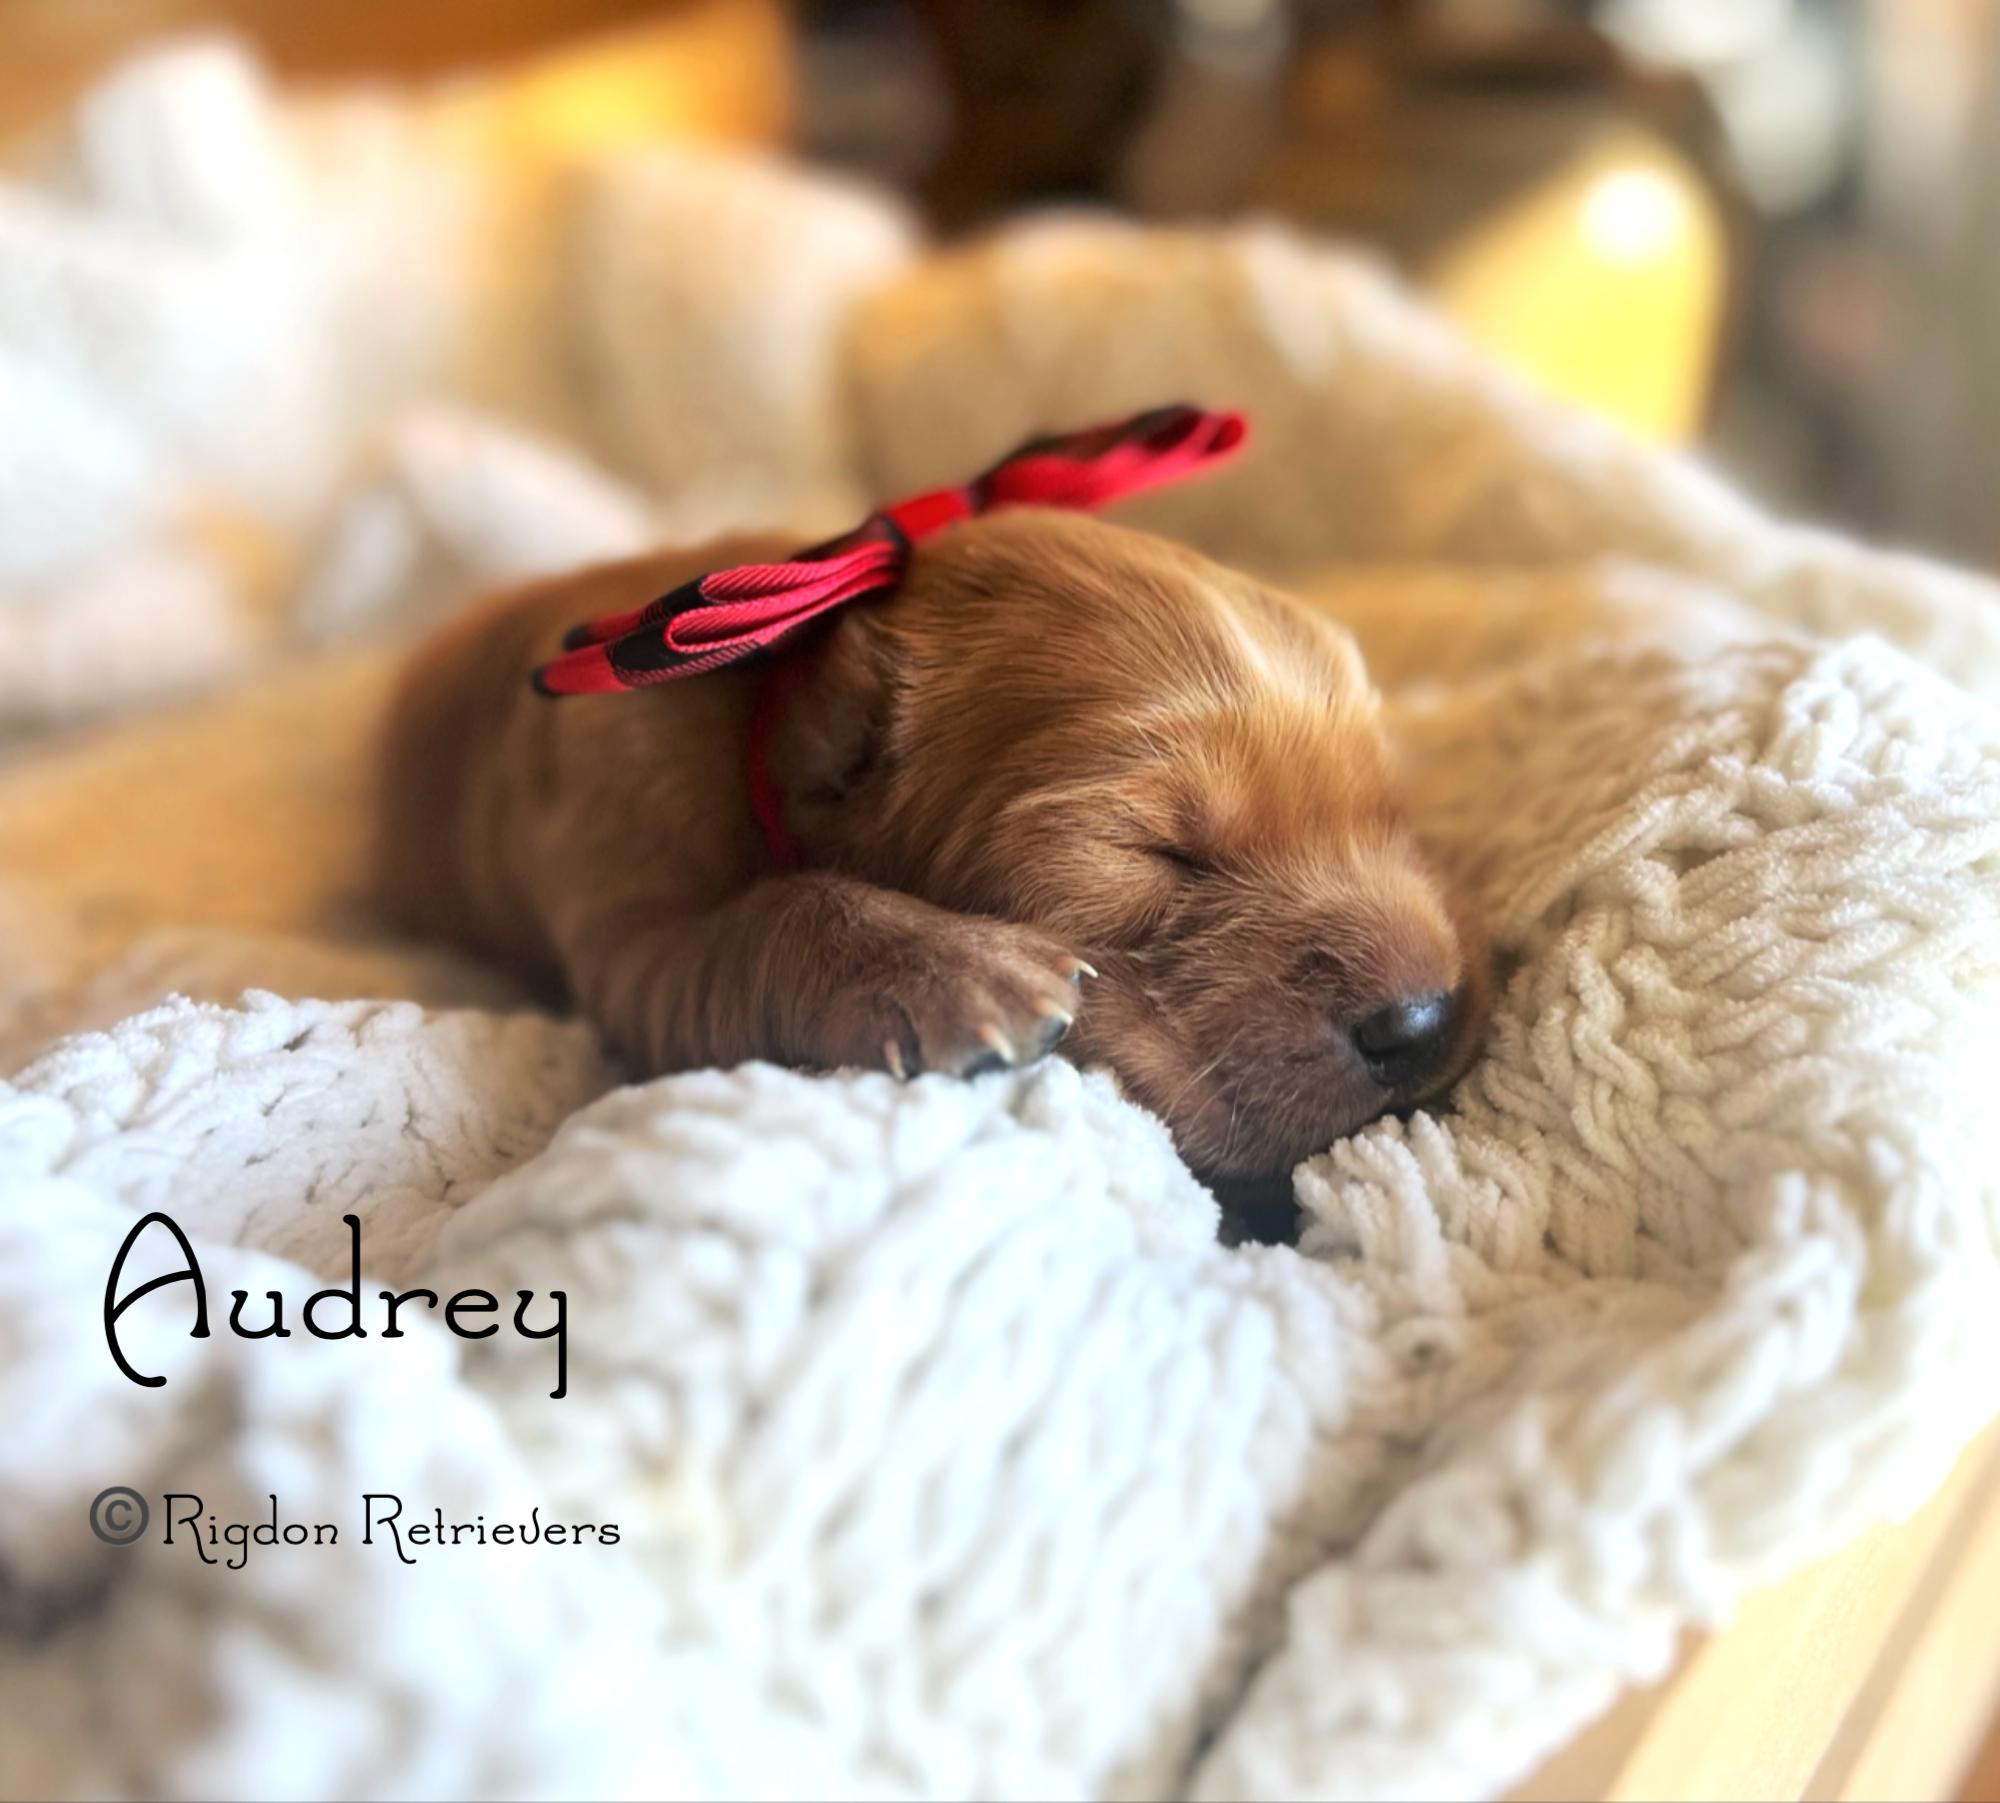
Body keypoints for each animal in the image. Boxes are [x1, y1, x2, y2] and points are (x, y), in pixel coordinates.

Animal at [375, 498, 1486, 1183]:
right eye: (1149, 851)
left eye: (1386, 810)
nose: (1423, 1020)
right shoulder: (633, 919)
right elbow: (763, 915)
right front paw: (950, 964)